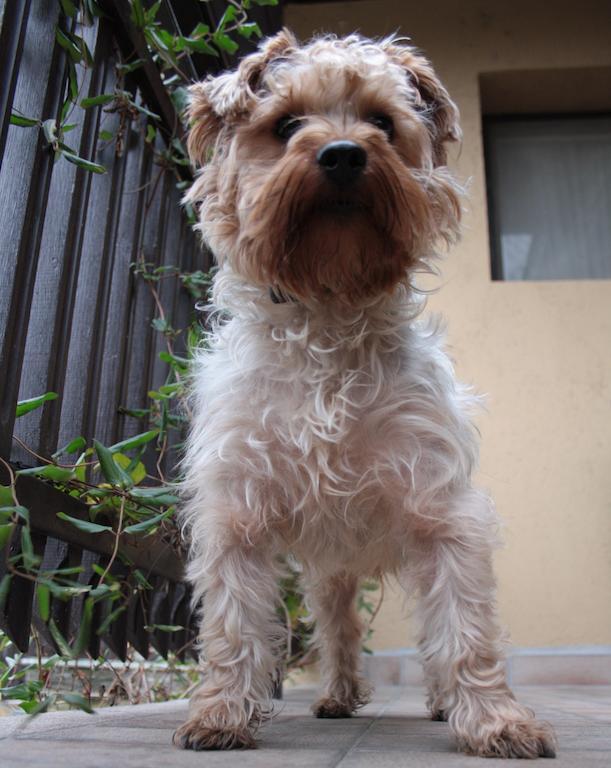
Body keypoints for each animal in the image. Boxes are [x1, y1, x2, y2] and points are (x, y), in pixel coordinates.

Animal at [173, 30, 560, 756]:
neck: (330, 307)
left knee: (429, 634)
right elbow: (233, 626)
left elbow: (465, 628)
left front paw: (495, 719)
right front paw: (221, 713)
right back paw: (337, 693)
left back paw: (436, 700)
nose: (344, 152)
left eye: (383, 122)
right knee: (340, 626)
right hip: (329, 571)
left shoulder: (442, 512)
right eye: (285, 125)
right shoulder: (238, 510)